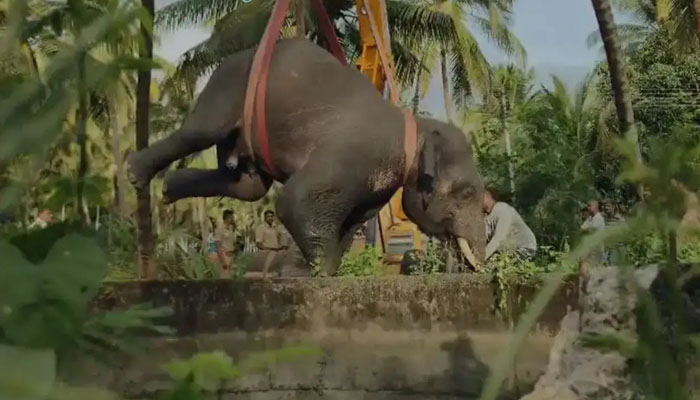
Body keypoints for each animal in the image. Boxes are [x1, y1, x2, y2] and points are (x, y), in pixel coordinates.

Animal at [126, 37, 486, 275]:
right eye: (468, 192)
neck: (416, 127)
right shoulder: (355, 153)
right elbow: (294, 200)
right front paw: (317, 277)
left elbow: (351, 222)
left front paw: (328, 271)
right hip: (226, 84)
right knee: (201, 132)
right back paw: (134, 173)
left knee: (247, 185)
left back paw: (168, 188)